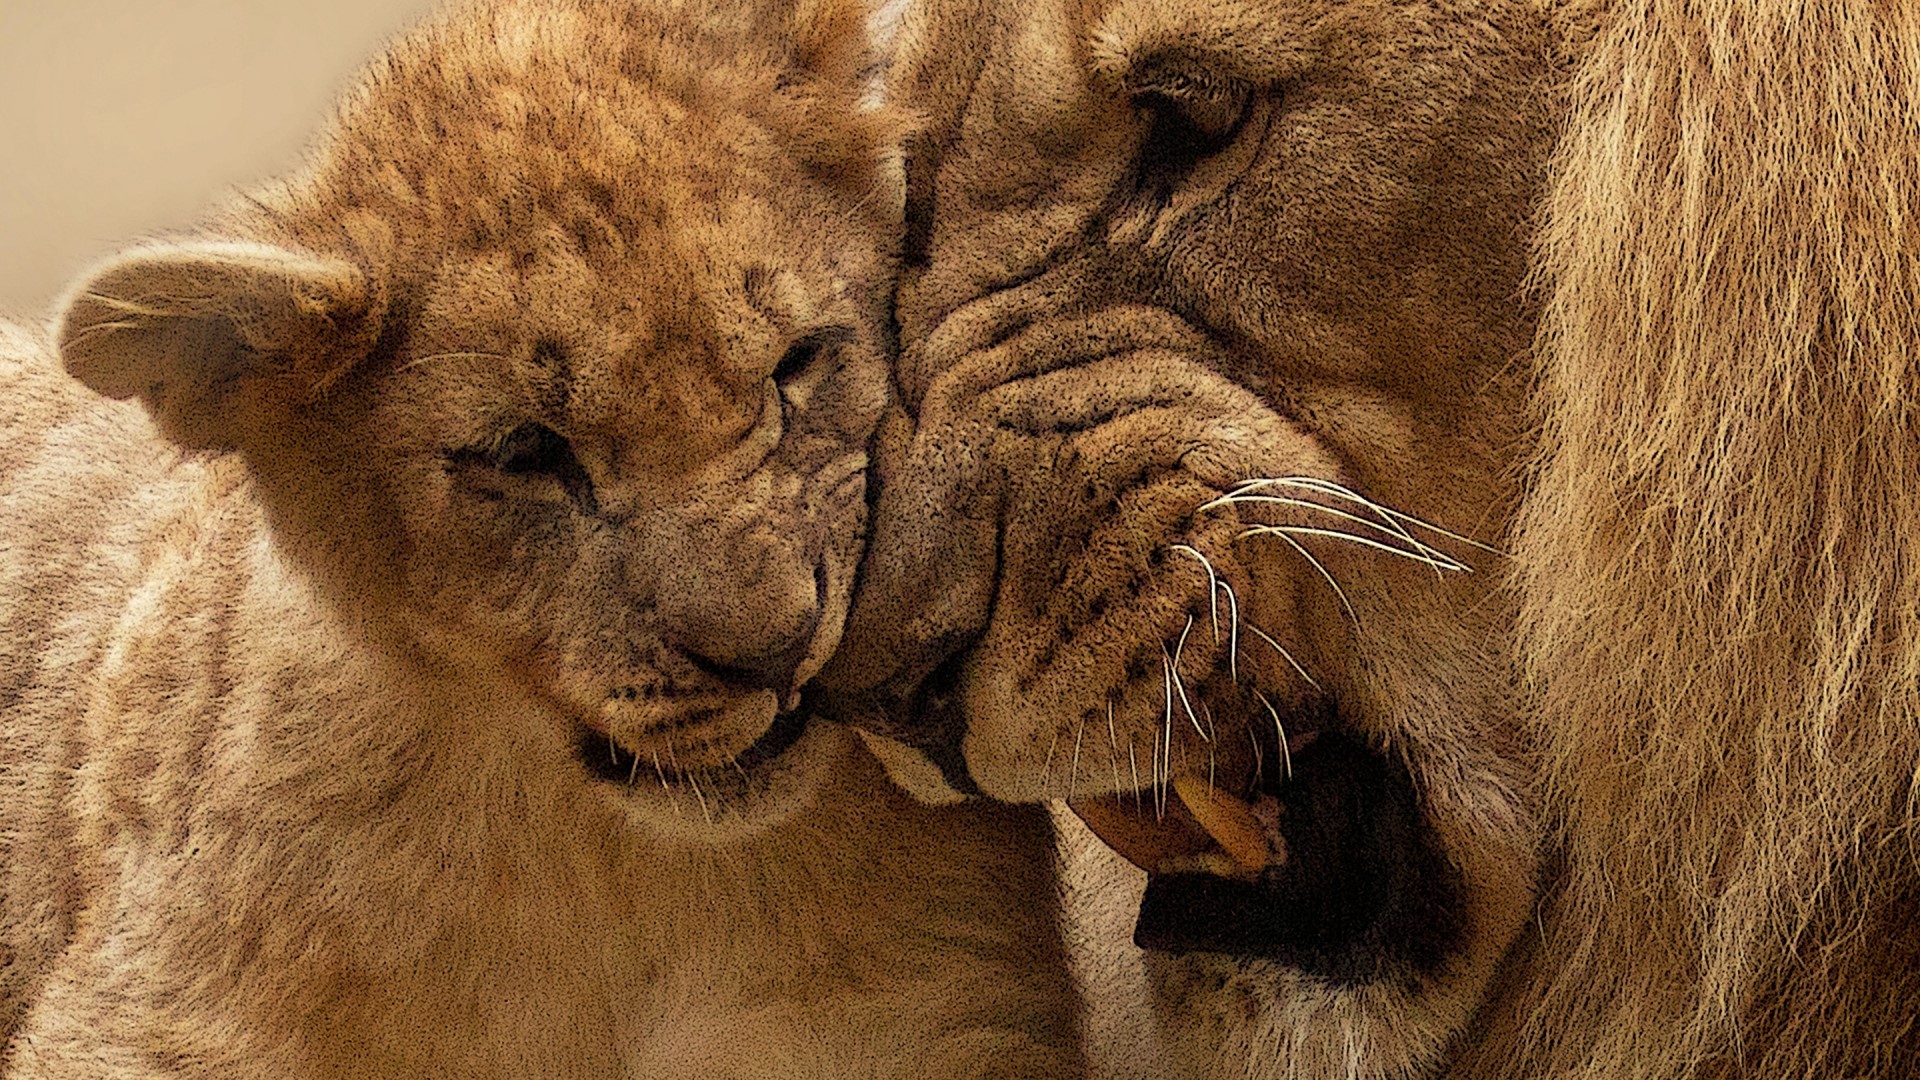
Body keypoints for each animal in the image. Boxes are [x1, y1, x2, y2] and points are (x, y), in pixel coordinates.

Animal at [0, 0, 1084, 1075]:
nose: (779, 652)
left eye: (798, 363)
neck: (626, 876)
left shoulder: (945, 1014)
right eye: (525, 452)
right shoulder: (146, 1020)